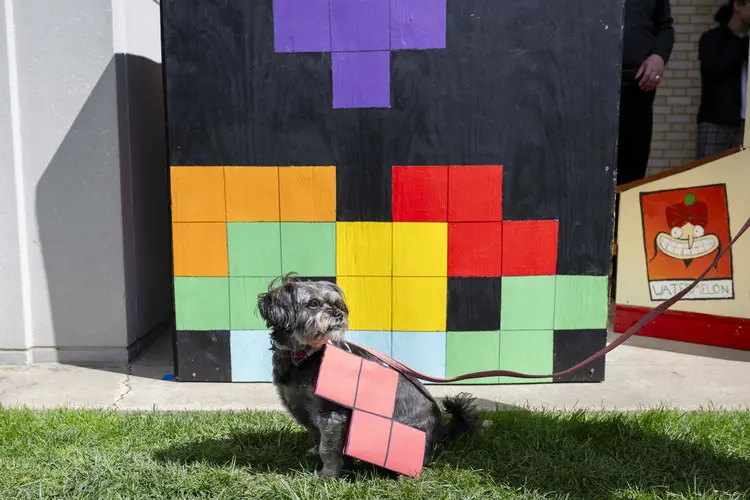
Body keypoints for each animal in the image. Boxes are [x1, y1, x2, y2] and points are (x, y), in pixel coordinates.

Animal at [258, 276, 478, 478]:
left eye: (337, 305)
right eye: (313, 303)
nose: (338, 314)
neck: (303, 356)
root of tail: (439, 430)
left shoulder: (331, 413)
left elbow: (328, 449)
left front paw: (328, 475)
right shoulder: (301, 406)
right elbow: (317, 436)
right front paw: (316, 454)